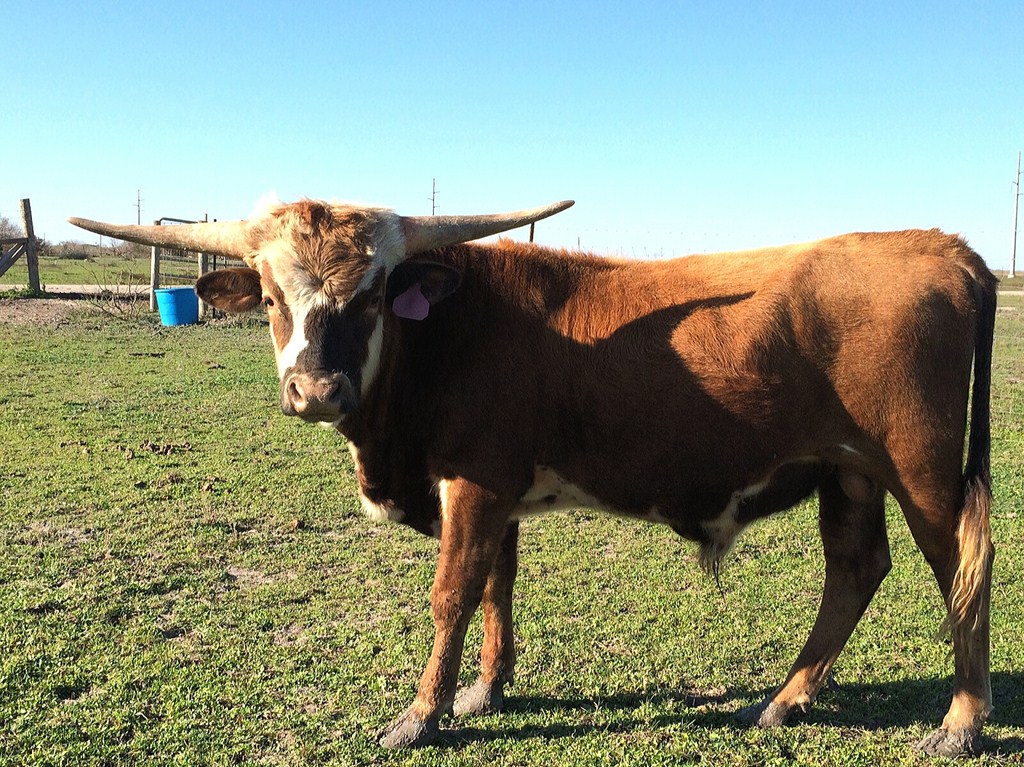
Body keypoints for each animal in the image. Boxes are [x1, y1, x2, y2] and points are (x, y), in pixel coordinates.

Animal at [69, 200, 997, 757]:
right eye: (268, 296)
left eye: (371, 295)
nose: (315, 391)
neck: (448, 330)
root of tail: (943, 247)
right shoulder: (499, 494)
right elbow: (496, 586)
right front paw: (486, 687)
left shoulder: (474, 484)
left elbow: (452, 590)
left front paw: (422, 713)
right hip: (849, 471)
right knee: (855, 568)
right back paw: (788, 698)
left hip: (920, 472)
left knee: (962, 571)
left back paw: (960, 721)